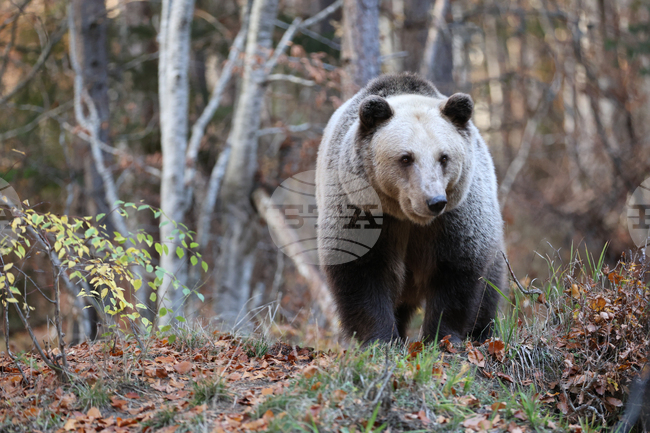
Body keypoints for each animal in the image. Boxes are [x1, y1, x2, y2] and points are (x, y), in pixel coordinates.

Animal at [315, 72, 507, 345]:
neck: (407, 217)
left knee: (489, 290)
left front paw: (441, 338)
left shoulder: (456, 216)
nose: (434, 201)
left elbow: (457, 271)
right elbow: (362, 271)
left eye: (444, 157)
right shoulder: (360, 207)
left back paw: (481, 333)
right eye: (406, 157)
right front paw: (381, 340)